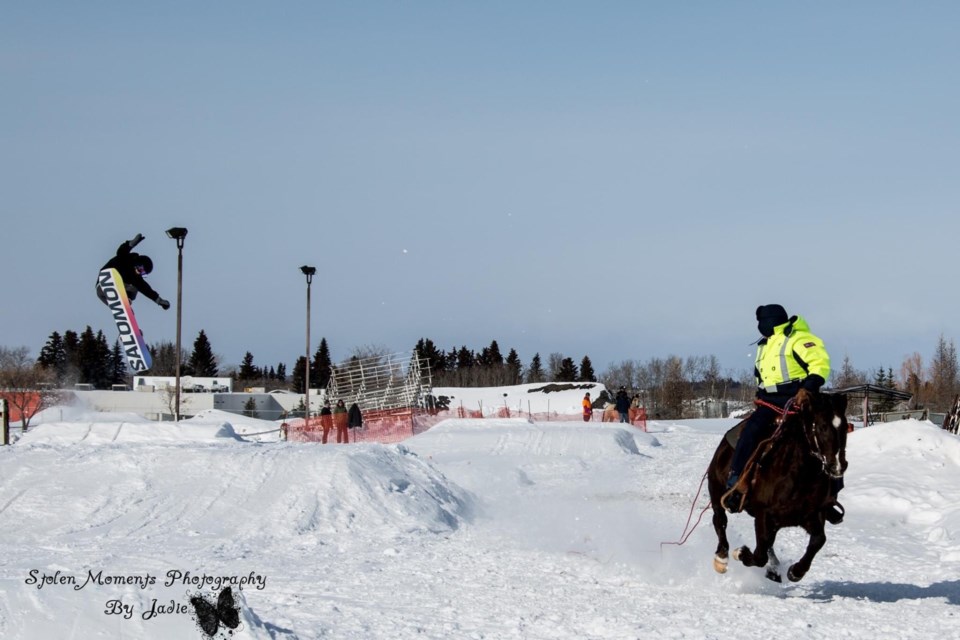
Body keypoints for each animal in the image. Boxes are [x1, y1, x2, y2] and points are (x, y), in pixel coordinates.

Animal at [704, 388, 848, 584]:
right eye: (822, 426)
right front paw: (740, 552)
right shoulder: (763, 514)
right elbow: (759, 556)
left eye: (845, 427)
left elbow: (819, 540)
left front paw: (796, 571)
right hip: (716, 493)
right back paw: (722, 557)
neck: (799, 476)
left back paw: (774, 569)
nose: (838, 466)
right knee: (720, 521)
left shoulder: (812, 515)